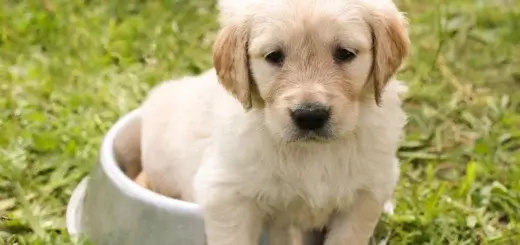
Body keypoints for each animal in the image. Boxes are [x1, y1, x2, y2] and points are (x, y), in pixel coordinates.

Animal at [138, 0, 410, 245]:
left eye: (345, 53)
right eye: (274, 56)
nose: (310, 116)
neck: (314, 153)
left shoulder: (366, 195)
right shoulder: (227, 196)